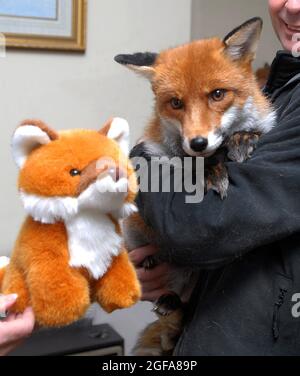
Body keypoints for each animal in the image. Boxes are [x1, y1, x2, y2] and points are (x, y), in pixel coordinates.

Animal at [115, 17, 276, 356]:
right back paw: (164, 292)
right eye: (176, 103)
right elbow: (185, 165)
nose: (198, 142)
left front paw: (241, 139)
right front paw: (210, 170)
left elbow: (246, 134)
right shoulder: (156, 153)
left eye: (217, 94)